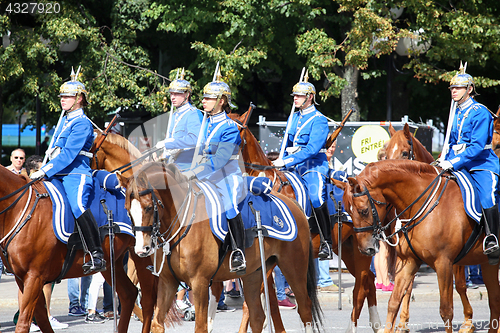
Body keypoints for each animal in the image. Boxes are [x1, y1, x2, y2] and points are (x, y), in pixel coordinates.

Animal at [0, 166, 139, 332]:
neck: (18, 210)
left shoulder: (34, 276)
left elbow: (24, 322)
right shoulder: (23, 278)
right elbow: (41, 318)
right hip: (113, 263)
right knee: (129, 294)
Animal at [119, 162, 322, 332]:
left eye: (148, 207)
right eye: (127, 210)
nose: (142, 250)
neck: (182, 222)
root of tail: (292, 203)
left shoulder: (200, 283)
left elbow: (201, 327)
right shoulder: (168, 281)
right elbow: (157, 323)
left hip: (293, 268)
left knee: (305, 310)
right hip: (253, 274)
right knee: (257, 316)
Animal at [229, 110, 380, 330]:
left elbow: (254, 304)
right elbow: (269, 303)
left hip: (362, 250)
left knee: (361, 287)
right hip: (348, 251)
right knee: (369, 279)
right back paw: (377, 323)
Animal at [334, 159, 500, 332]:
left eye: (364, 210)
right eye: (347, 212)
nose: (365, 249)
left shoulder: (444, 263)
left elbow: (446, 310)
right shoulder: (409, 261)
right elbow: (393, 303)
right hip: (488, 262)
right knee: (495, 299)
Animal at [384, 123, 474, 332]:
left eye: (404, 152)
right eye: (385, 153)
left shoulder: (453, 257)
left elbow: (460, 285)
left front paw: (468, 320)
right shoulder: (410, 255)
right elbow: (407, 286)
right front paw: (402, 322)